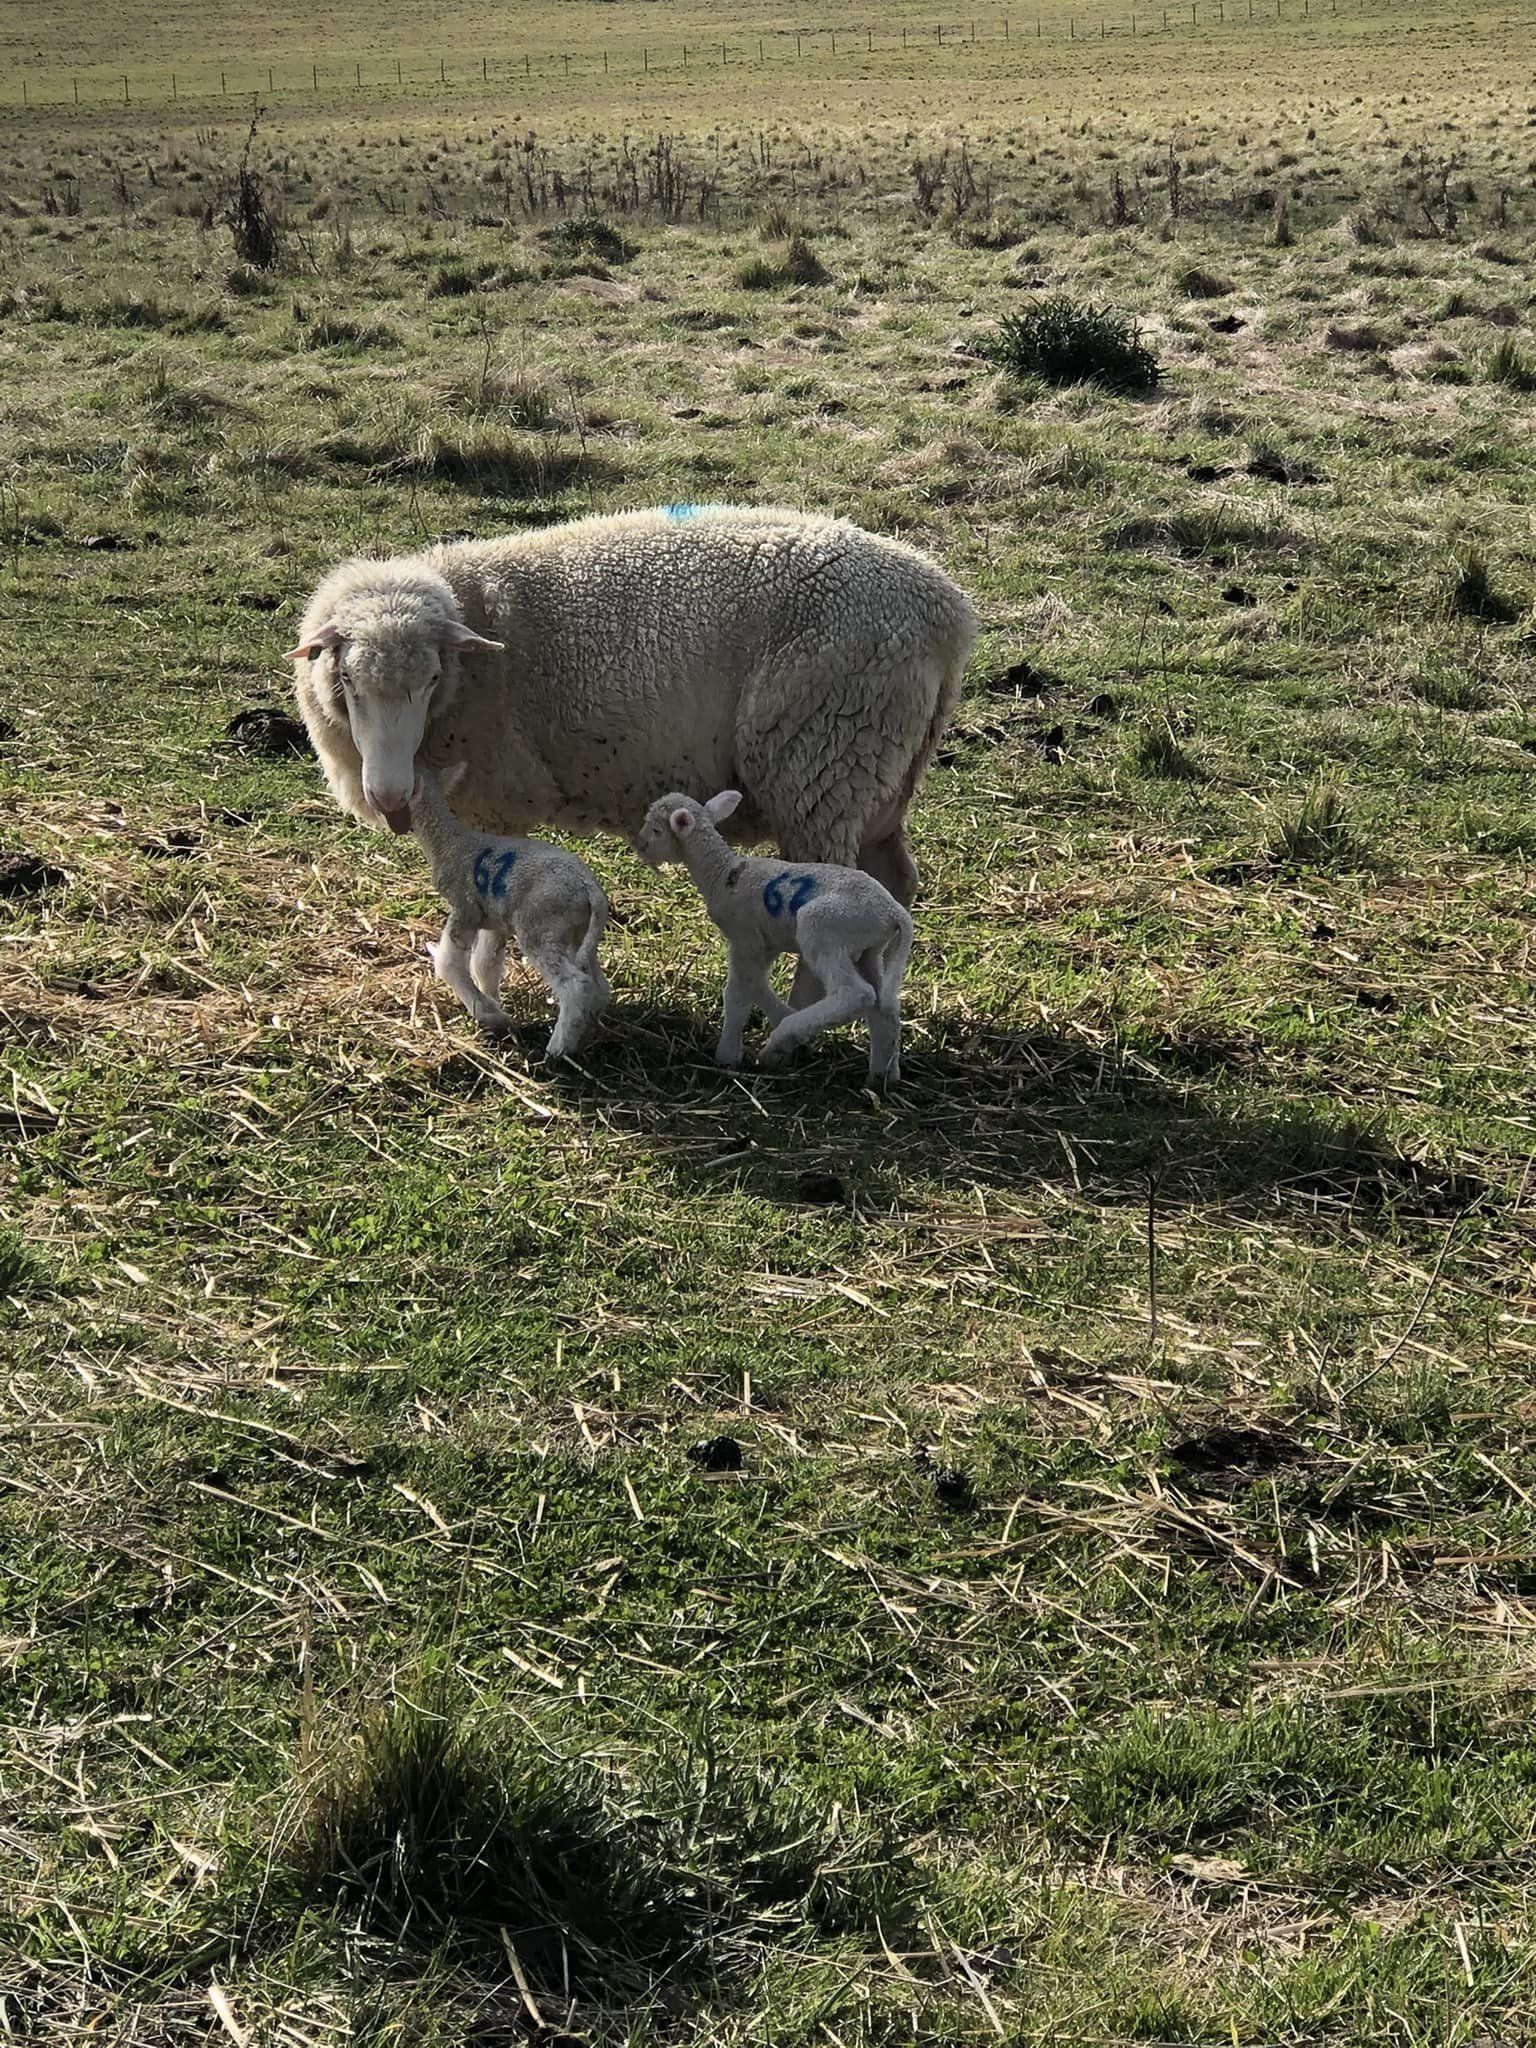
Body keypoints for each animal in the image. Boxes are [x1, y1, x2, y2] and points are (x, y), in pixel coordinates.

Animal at [286, 506, 975, 1001]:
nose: (390, 795)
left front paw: (484, 987)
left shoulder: (500, 797)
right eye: (346, 679)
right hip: (879, 778)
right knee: (893, 885)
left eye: (432, 678)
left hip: (822, 761)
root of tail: (947, 611)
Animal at [408, 765, 610, 1059]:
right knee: (597, 984)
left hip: (541, 926)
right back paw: (587, 1032)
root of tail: (591, 888)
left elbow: (452, 962)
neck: (448, 840)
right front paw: (492, 1000)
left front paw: (487, 1012)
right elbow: (485, 963)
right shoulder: (493, 918)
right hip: (578, 931)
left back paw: (558, 1048)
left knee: (575, 984)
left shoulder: (465, 907)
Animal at [637, 789, 913, 1087]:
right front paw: (780, 1017)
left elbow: (738, 992)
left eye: (656, 829)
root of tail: (894, 912)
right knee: (884, 1008)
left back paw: (781, 1040)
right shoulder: (765, 942)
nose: (640, 845)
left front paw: (728, 1055)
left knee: (855, 994)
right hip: (868, 950)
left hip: (824, 930)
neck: (723, 874)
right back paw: (882, 1076)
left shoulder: (745, 937)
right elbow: (755, 983)